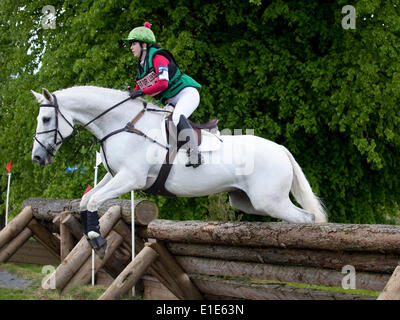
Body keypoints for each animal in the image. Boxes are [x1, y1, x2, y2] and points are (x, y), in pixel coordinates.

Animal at [30, 85, 324, 250]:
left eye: (46, 119)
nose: (37, 158)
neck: (122, 124)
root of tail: (281, 149)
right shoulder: (113, 176)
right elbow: (86, 199)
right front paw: (91, 237)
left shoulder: (131, 179)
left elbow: (93, 201)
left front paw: (97, 239)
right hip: (248, 202)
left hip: (269, 201)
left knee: (307, 220)